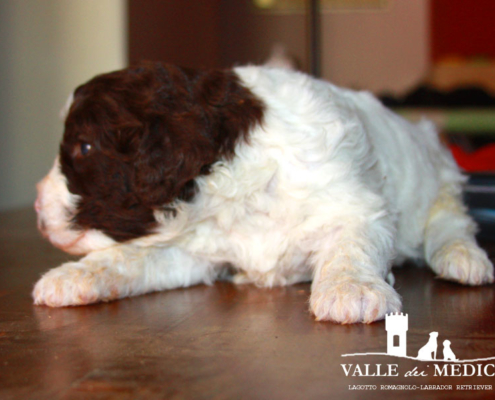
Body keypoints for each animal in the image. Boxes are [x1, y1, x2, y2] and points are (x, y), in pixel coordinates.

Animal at [33, 63, 494, 324]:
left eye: (84, 148)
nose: (36, 204)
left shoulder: (355, 205)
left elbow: (352, 243)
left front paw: (351, 289)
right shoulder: (194, 249)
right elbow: (129, 258)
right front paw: (72, 277)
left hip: (438, 174)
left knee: (451, 221)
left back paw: (462, 258)